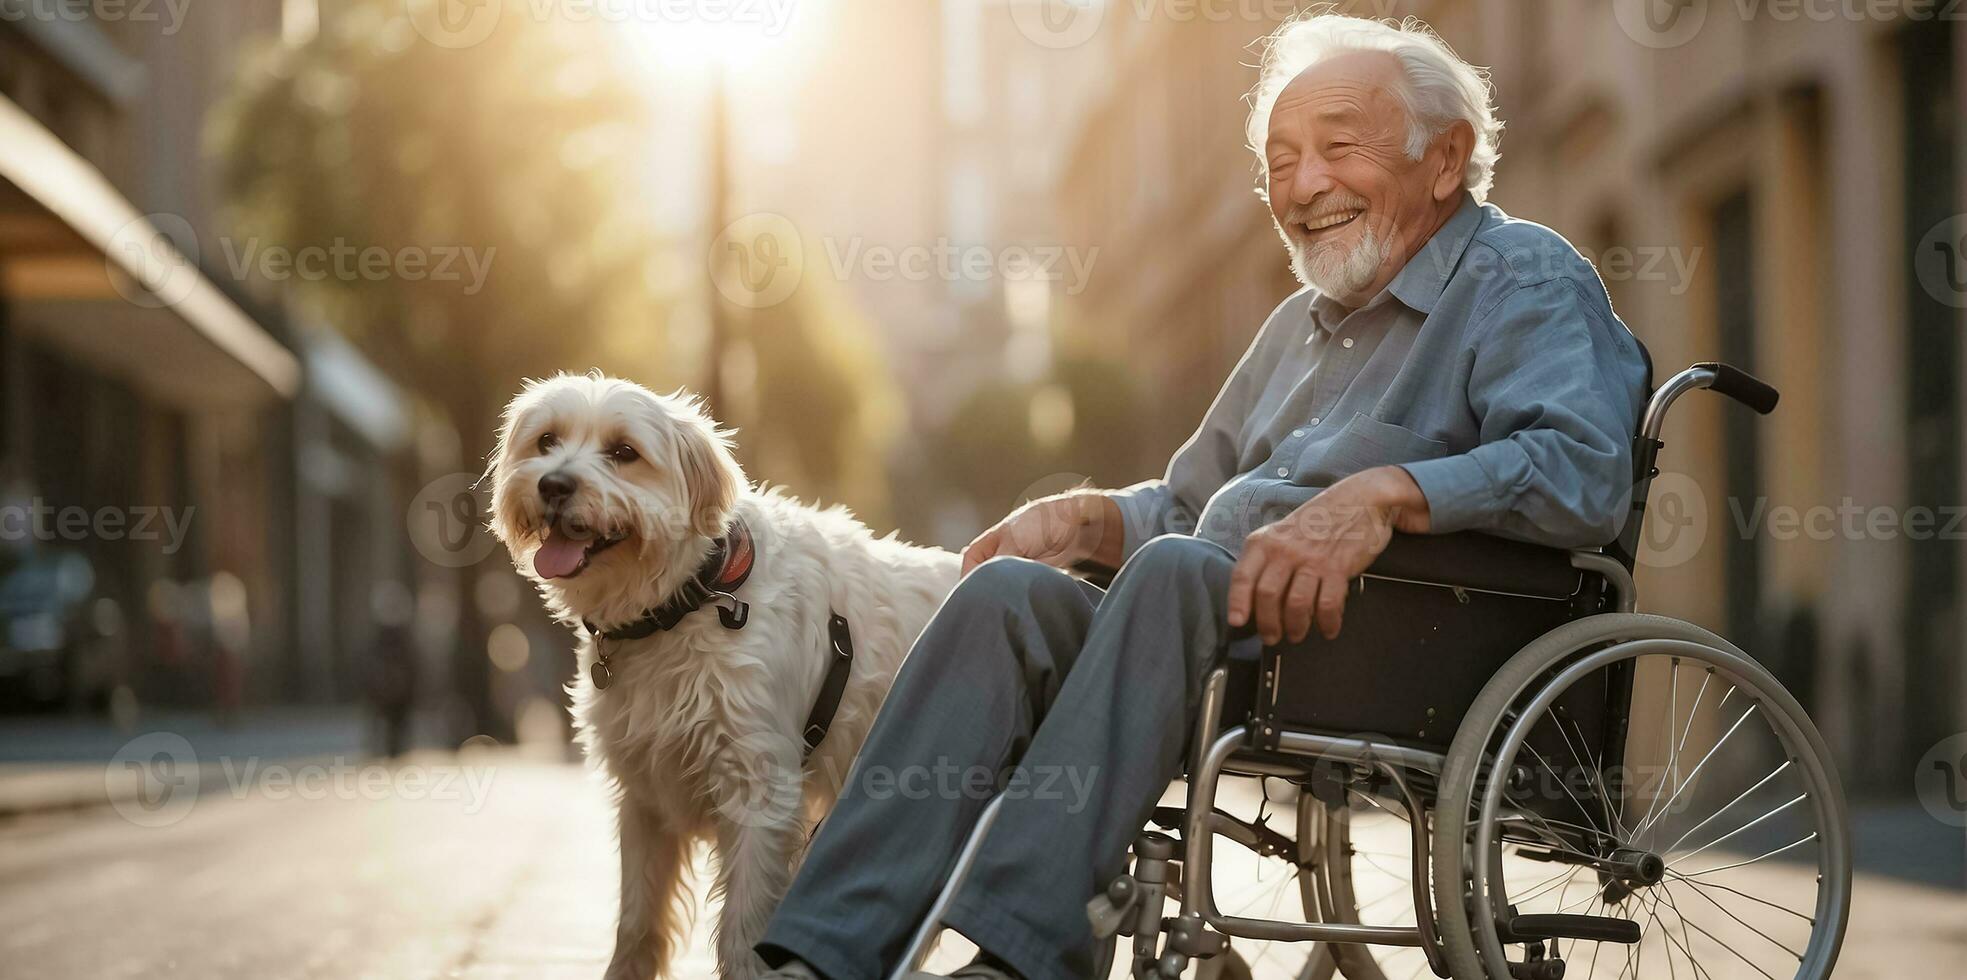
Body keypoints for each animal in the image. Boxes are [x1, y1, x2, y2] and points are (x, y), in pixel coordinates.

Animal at [483, 371, 959, 976]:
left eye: (624, 452)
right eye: (546, 441)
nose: (553, 484)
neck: (690, 601)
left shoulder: (761, 794)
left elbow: (742, 930)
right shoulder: (644, 802)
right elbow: (636, 923)